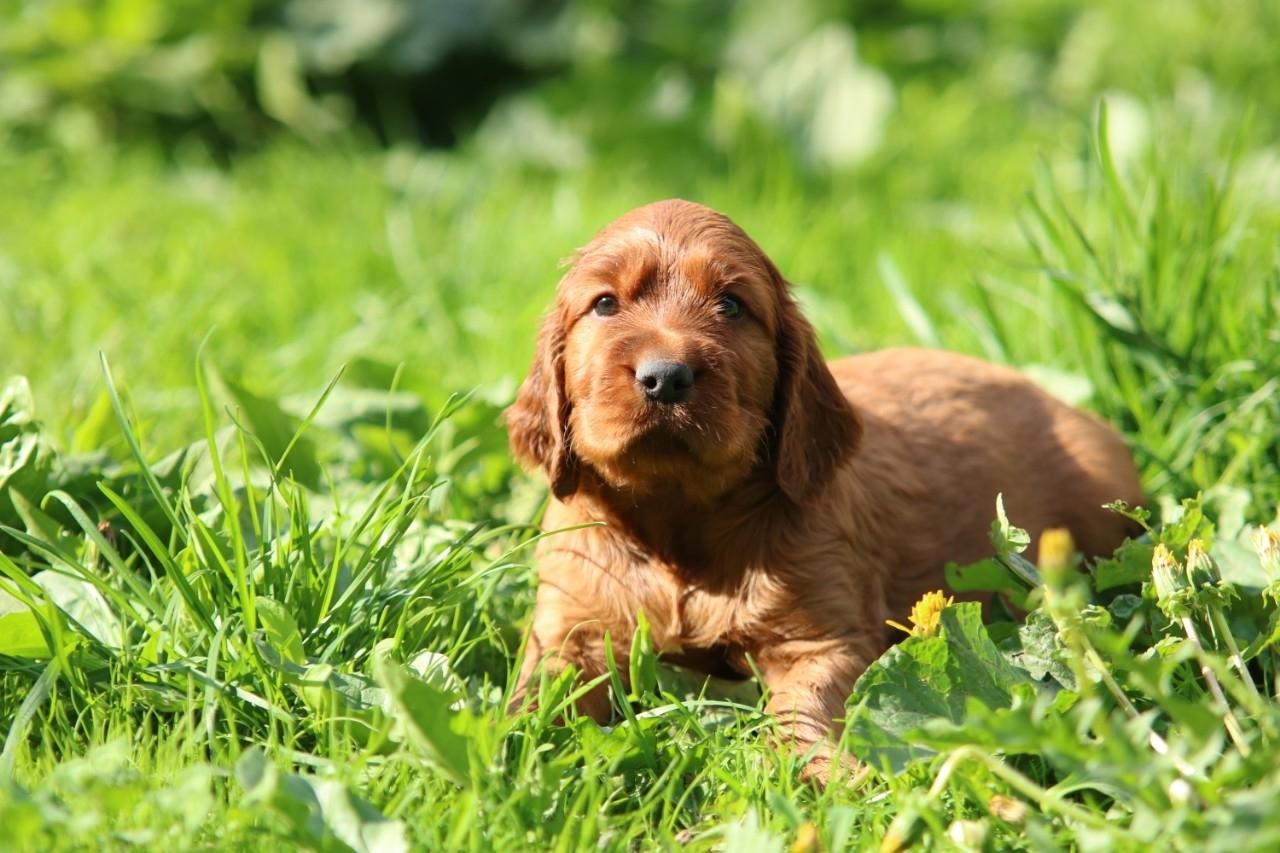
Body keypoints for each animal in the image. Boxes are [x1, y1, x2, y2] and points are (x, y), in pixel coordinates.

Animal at [504, 199, 1146, 778]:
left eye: (731, 305)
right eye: (605, 304)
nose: (665, 376)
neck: (678, 520)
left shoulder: (822, 636)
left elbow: (804, 707)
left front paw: (817, 772)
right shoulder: (572, 626)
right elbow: (539, 692)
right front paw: (512, 755)